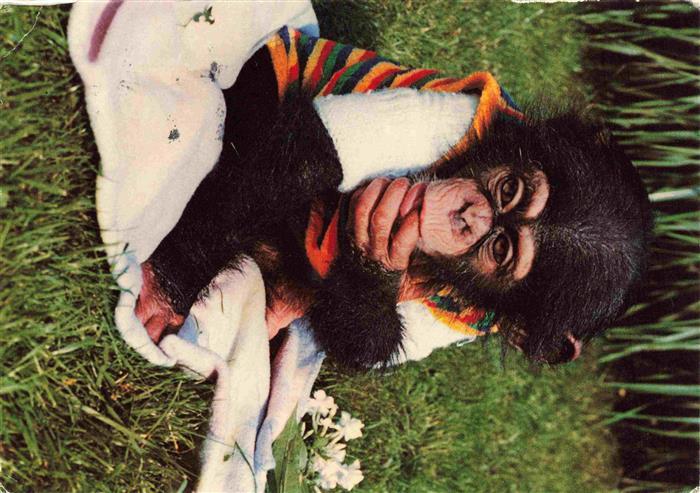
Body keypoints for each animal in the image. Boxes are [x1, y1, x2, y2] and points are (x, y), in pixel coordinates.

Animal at [135, 27, 653, 369]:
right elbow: (320, 151)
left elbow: (371, 349)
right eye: (510, 190)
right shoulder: (461, 114)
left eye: (500, 249)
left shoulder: (464, 322)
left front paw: (375, 264)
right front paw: (164, 295)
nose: (468, 214)